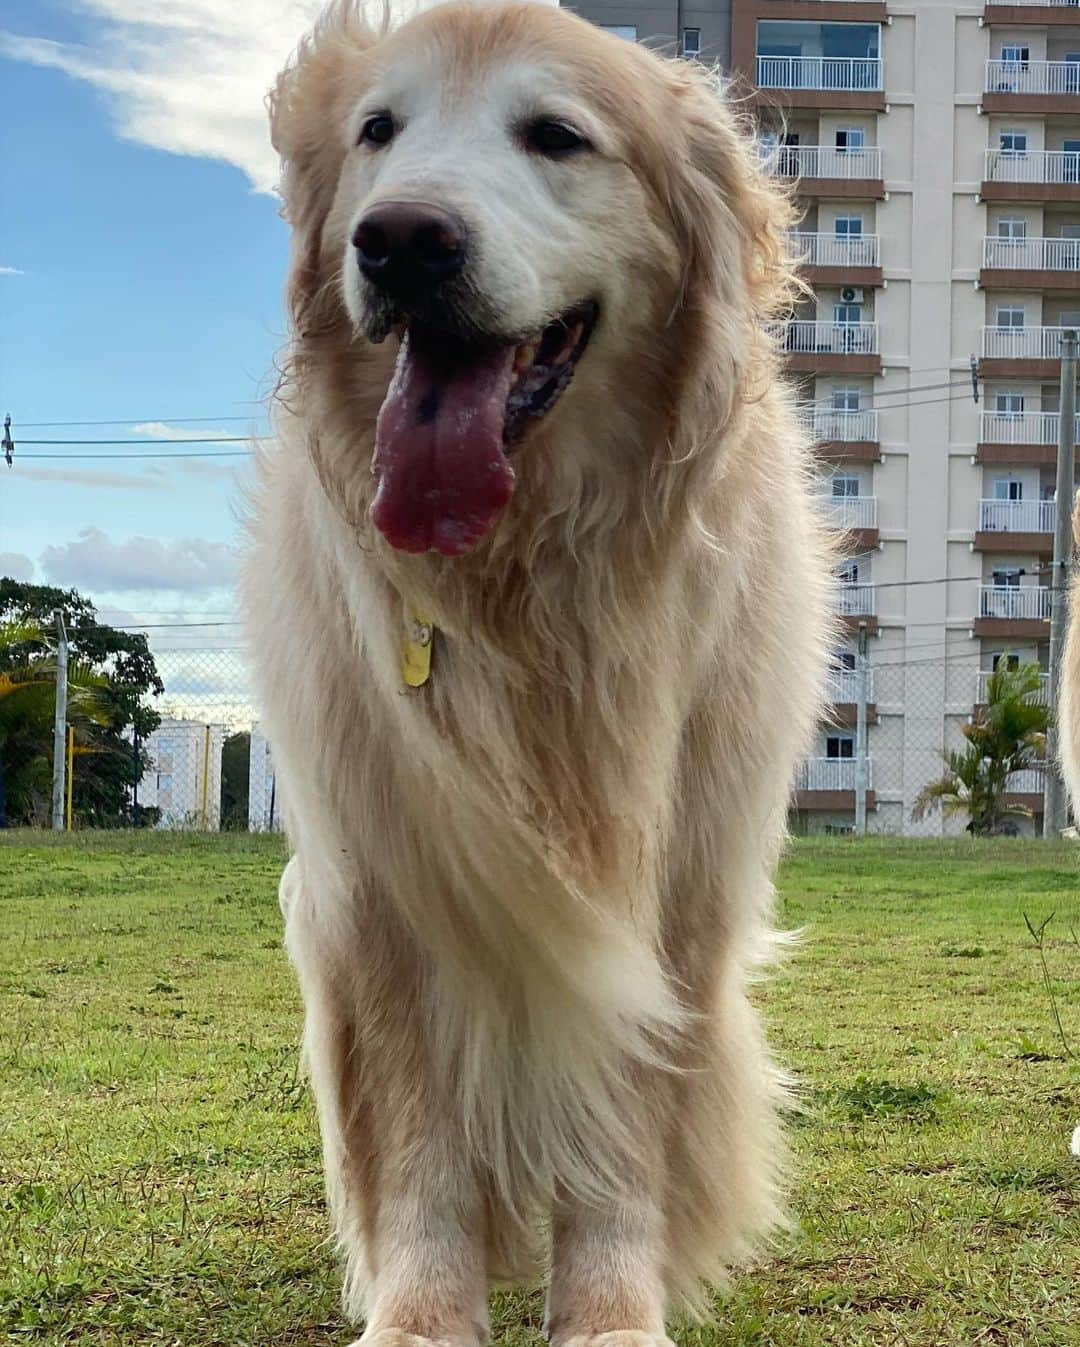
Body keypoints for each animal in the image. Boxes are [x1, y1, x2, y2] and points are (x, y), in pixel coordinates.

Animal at [243, 5, 834, 1341]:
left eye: (557, 136)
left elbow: (621, 1126)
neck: (530, 583)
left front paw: (612, 1310)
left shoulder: (671, 891)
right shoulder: (382, 880)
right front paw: (420, 1314)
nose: (401, 241)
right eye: (378, 131)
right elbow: (418, 1139)